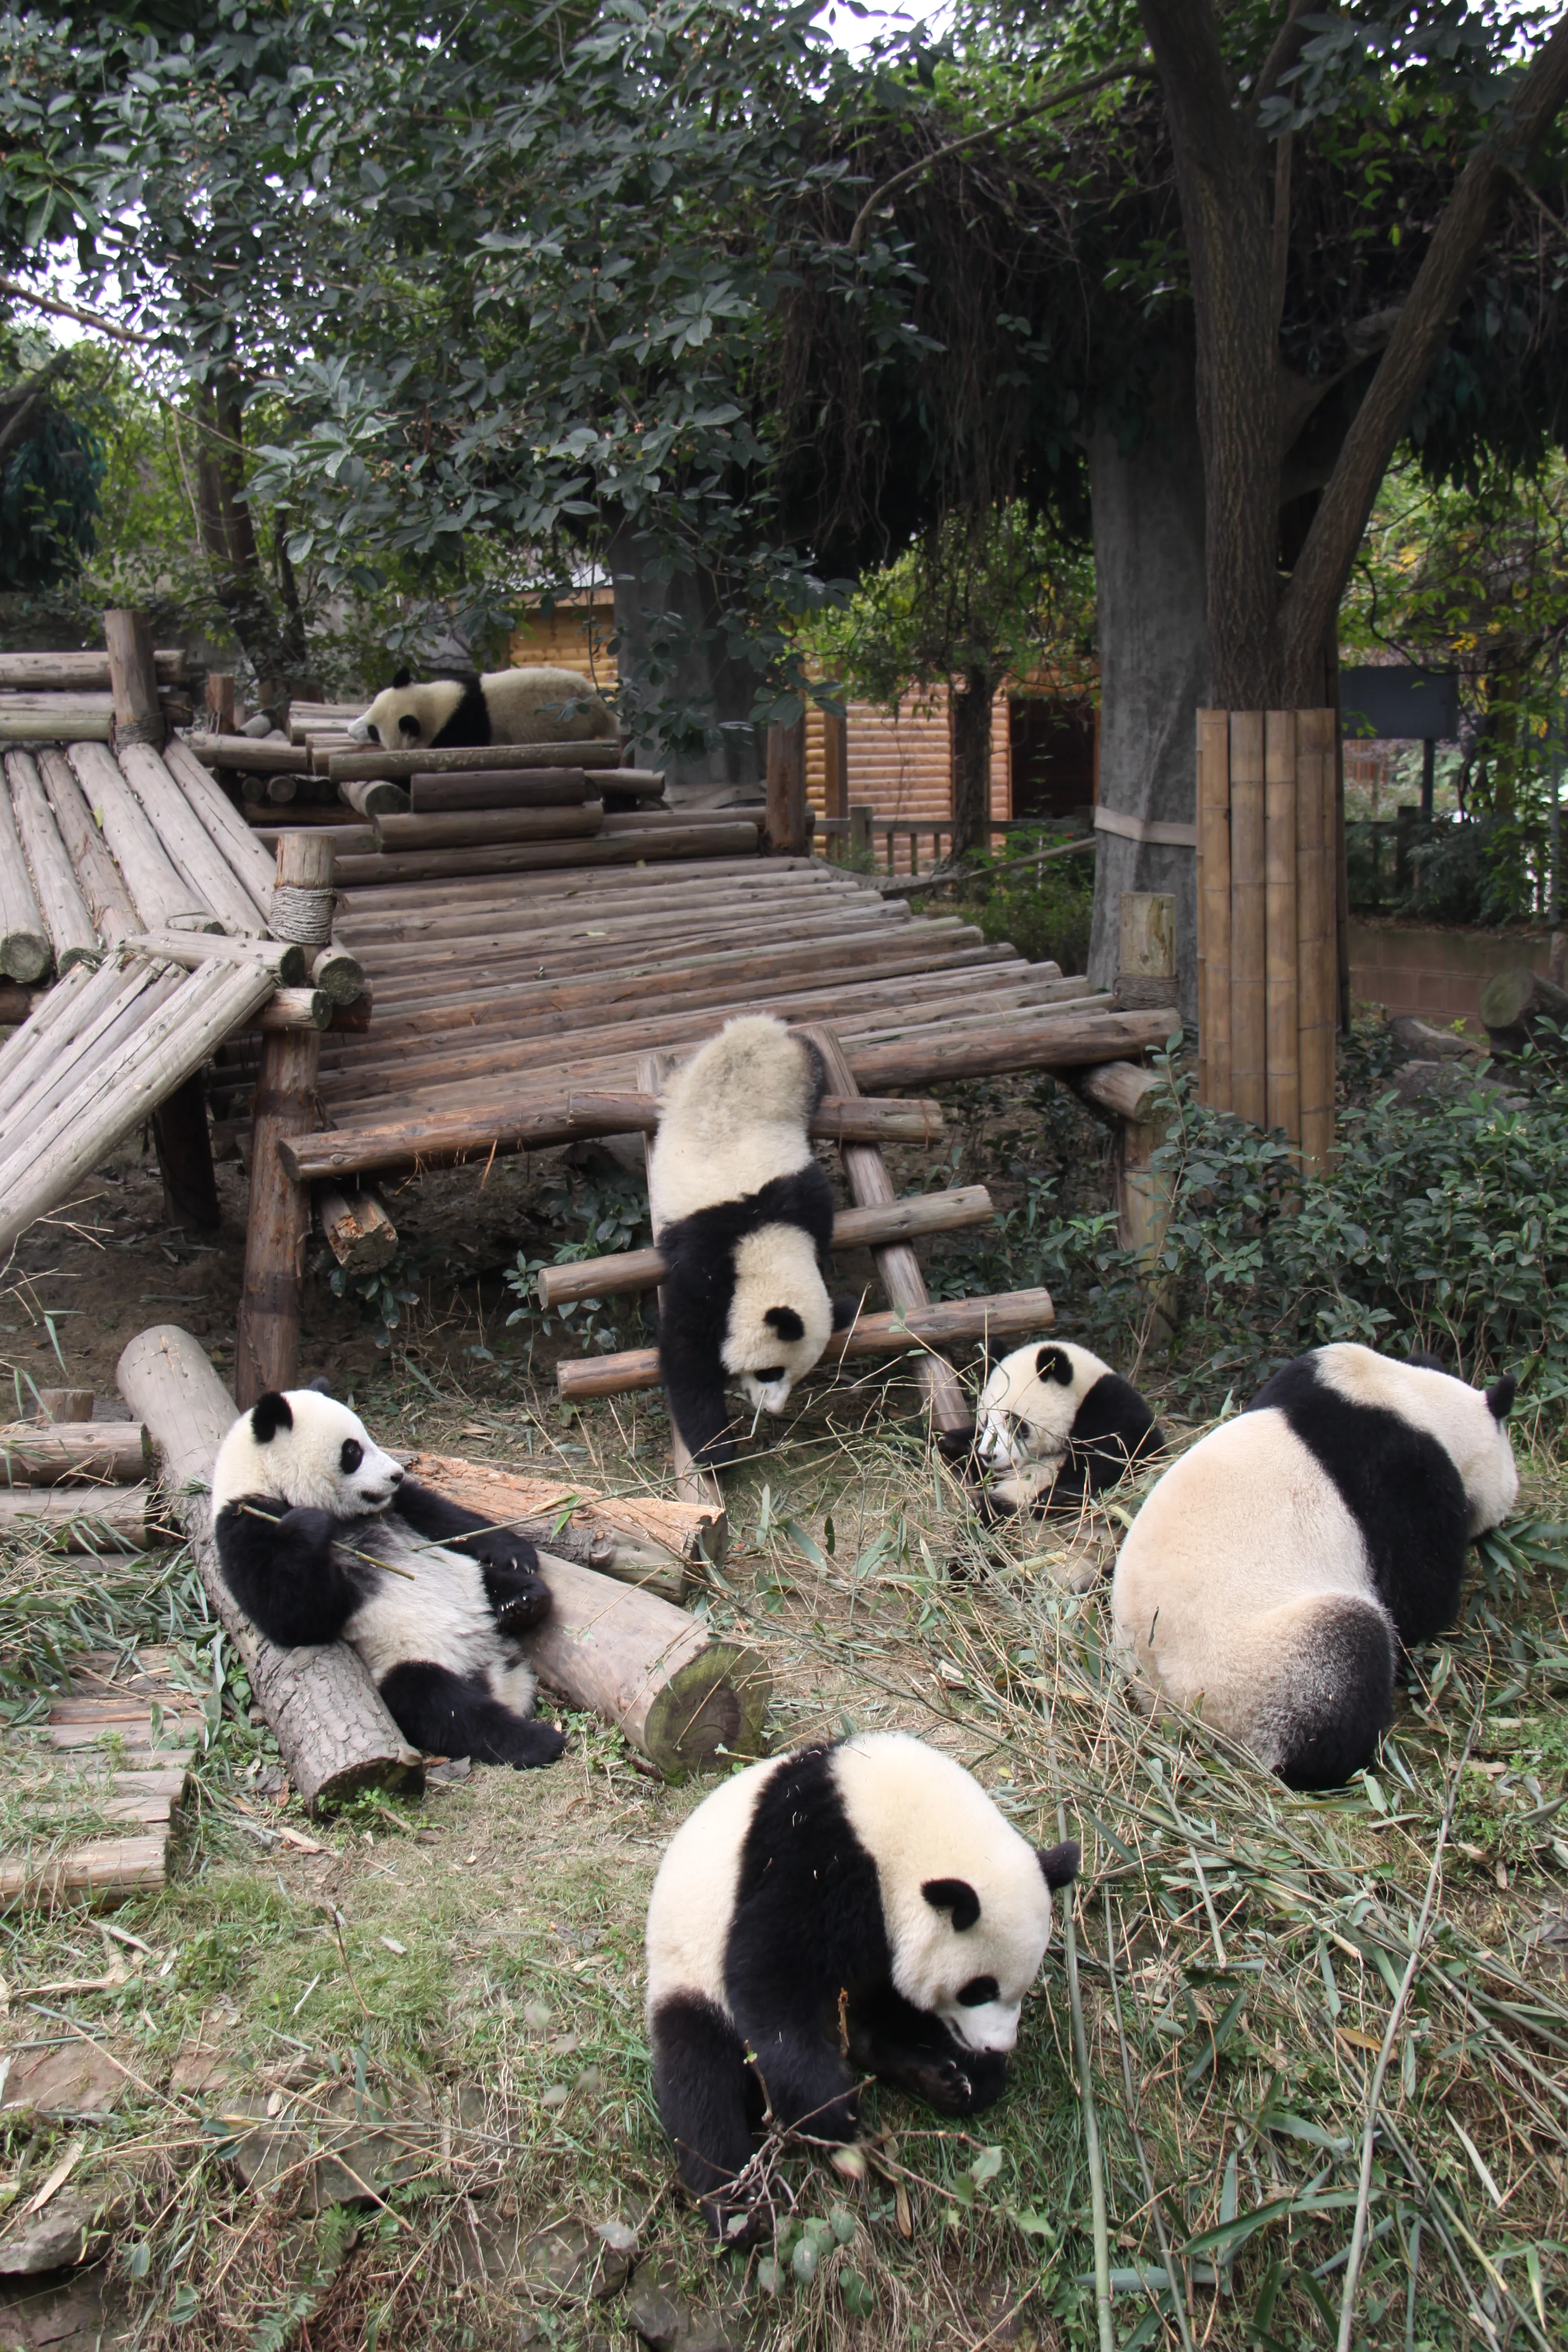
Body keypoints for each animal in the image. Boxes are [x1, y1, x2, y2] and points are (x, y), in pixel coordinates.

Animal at [211, 1387, 567, 1770]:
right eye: (352, 1451)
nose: (396, 1474)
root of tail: (493, 1674)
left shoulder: (393, 1506)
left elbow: (442, 1518)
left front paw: (516, 1553)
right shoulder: (246, 1522)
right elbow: (293, 1617)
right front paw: (307, 1527)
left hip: (471, 1584)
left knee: (497, 1587)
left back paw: (522, 1603)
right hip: (405, 1659)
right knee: (444, 1707)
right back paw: (537, 1741)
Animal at [645, 1732, 1079, 2239]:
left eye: (1019, 1987)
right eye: (980, 1989)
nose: (998, 2046)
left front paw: (971, 2074)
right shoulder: (814, 1855)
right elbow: (768, 1979)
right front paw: (832, 2114)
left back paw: (943, 2078)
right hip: (689, 1970)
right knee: (700, 2082)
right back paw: (739, 2210)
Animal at [650, 1015, 853, 1467]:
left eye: (796, 1376)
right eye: (770, 1372)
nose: (772, 1410)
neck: (764, 1235)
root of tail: (754, 1027)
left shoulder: (806, 1202)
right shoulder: (705, 1258)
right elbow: (685, 1349)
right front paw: (716, 1449)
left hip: (802, 1067)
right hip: (689, 1075)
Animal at [948, 1339, 1163, 1516]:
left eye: (1014, 1422)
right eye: (985, 1421)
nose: (988, 1455)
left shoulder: (1112, 1406)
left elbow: (1122, 1456)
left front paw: (1056, 1498)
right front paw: (953, 1443)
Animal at [1110, 1343, 1518, 1790]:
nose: (1499, 1529)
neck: (1413, 1398)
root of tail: (1164, 1697)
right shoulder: (1402, 1479)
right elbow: (1419, 1595)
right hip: (1253, 1671)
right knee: (1346, 1656)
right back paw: (1342, 1763)